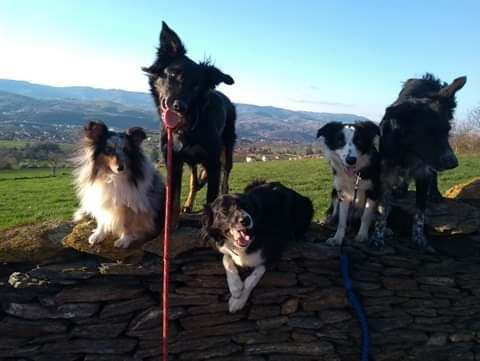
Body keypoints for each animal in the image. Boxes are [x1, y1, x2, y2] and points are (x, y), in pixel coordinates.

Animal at [144, 21, 238, 226]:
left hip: (227, 150)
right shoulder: (173, 160)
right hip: (192, 160)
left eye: (196, 86)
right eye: (173, 75)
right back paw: (188, 204)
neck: (187, 126)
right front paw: (171, 223)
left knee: (225, 178)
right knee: (194, 180)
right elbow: (173, 197)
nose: (180, 107)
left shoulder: (213, 162)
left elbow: (211, 198)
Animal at [201, 181, 314, 310]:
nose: (246, 220)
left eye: (246, 207)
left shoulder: (274, 251)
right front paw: (235, 288)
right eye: (224, 210)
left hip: (306, 206)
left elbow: (253, 277)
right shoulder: (224, 248)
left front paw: (238, 301)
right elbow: (226, 258)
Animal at [370, 72, 466, 248]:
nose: (453, 163)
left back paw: (435, 194)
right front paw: (378, 237)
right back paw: (401, 190)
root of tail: (426, 77)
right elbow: (383, 208)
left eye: (447, 130)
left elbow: (420, 211)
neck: (409, 149)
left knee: (433, 177)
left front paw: (419, 238)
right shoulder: (386, 171)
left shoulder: (423, 173)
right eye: (427, 132)